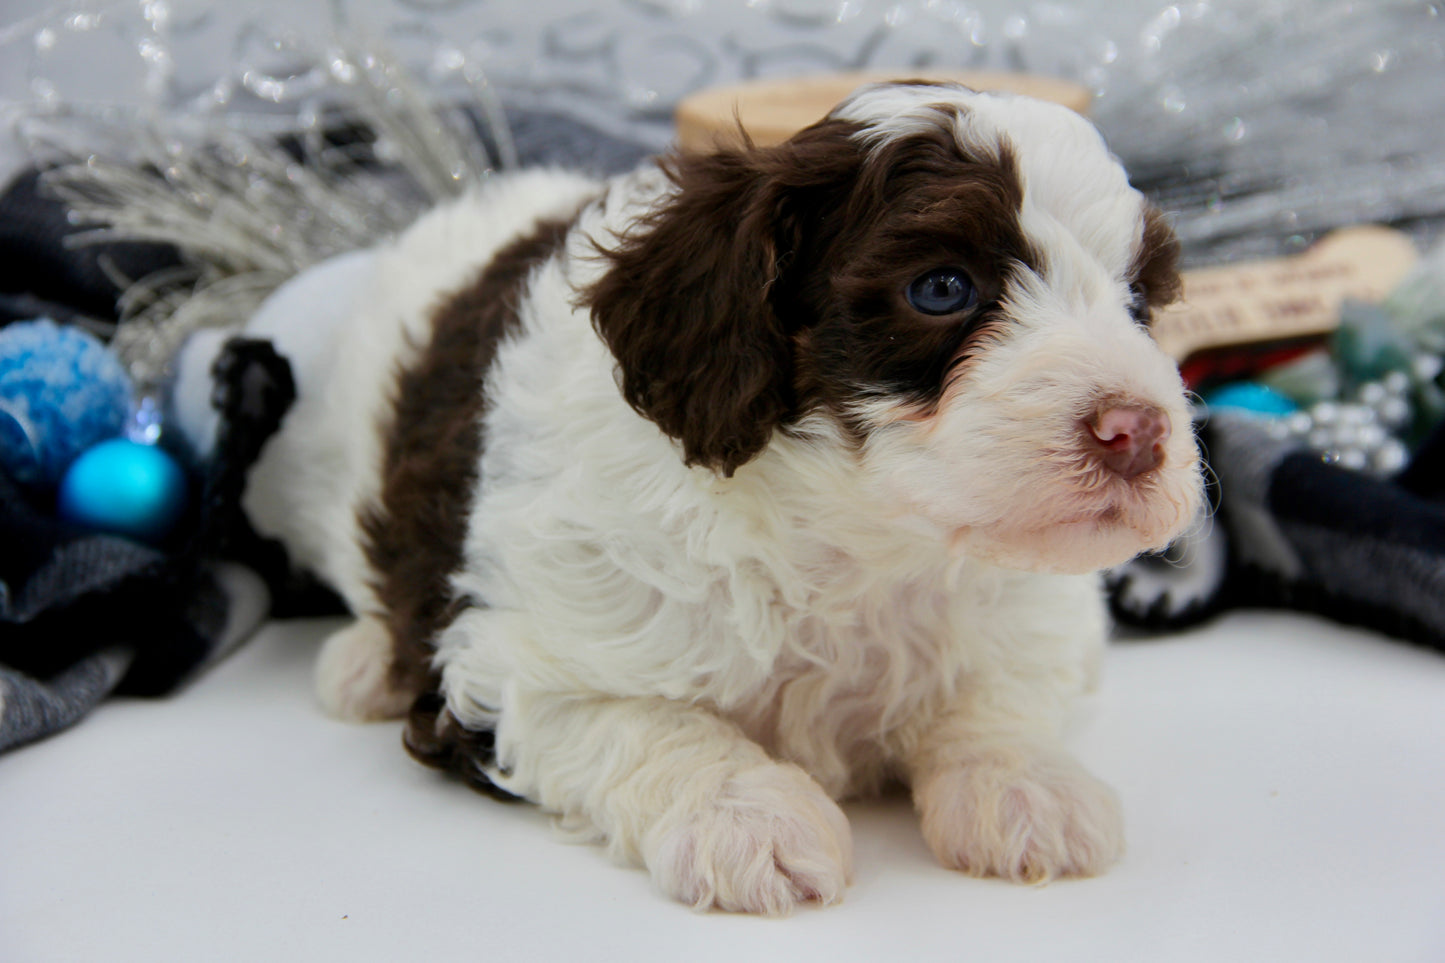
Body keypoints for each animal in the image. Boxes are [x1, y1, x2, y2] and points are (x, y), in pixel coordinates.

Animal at [216, 80, 1208, 908]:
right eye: (941, 288)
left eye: (1137, 300)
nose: (1136, 431)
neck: (858, 541)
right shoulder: (513, 671)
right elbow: (648, 724)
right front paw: (748, 815)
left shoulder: (1033, 619)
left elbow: (998, 689)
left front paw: (1022, 782)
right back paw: (361, 661)